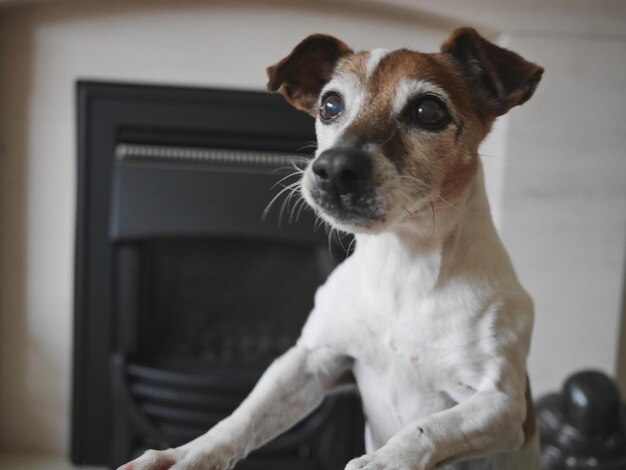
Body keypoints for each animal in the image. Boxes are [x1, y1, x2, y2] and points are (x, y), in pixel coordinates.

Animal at [120, 26, 540, 470]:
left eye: (429, 111)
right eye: (330, 105)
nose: (335, 170)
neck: (404, 265)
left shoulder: (500, 406)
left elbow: (425, 430)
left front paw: (381, 463)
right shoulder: (312, 362)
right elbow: (241, 420)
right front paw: (184, 454)